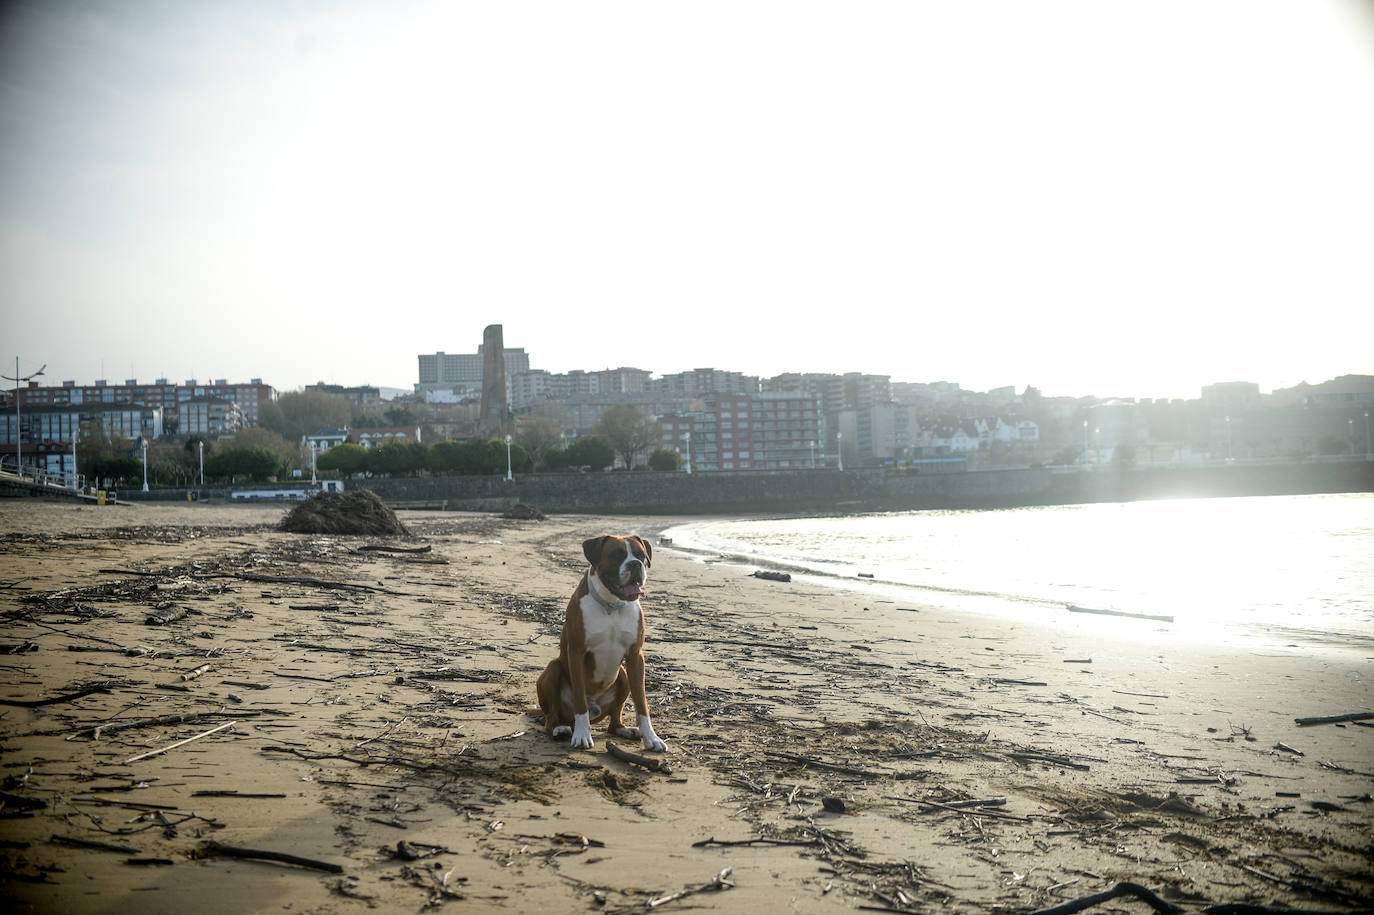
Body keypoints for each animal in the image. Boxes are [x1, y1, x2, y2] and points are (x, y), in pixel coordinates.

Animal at [533, 535, 667, 747]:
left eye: (640, 555)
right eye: (616, 555)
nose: (635, 564)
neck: (611, 605)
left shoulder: (635, 656)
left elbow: (642, 702)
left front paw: (651, 738)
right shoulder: (576, 653)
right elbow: (580, 701)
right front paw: (582, 735)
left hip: (623, 675)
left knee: (614, 721)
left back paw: (625, 730)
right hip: (553, 669)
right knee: (551, 717)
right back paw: (560, 729)